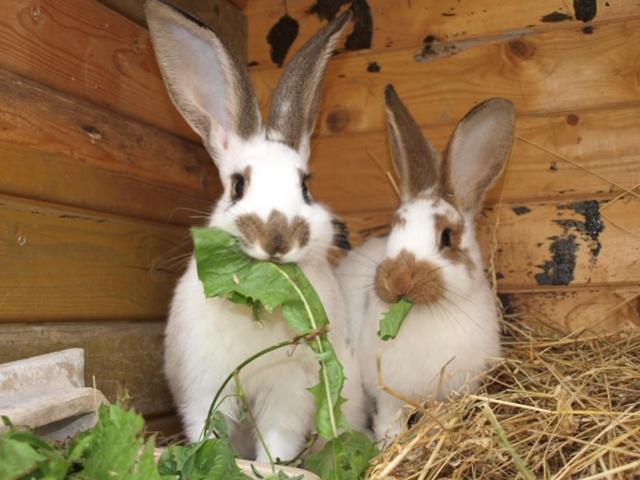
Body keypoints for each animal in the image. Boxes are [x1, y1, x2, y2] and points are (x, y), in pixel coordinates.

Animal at [145, 0, 364, 464]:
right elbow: (207, 428)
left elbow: (278, 440)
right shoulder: (204, 386)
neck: (258, 302)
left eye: (306, 186)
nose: (277, 240)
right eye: (238, 185)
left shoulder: (289, 396)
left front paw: (273, 468)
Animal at [338, 85, 516, 438]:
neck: (428, 312)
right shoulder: (388, 398)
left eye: (447, 236)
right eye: (394, 226)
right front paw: (388, 445)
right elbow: (389, 425)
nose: (397, 280)